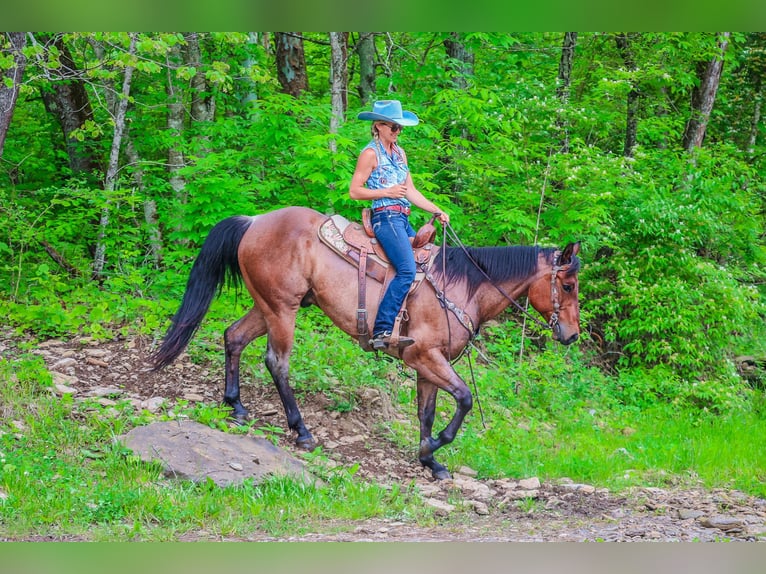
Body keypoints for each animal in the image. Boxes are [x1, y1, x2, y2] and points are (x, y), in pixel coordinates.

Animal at [152, 207, 584, 482]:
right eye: (567, 285)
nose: (572, 335)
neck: (461, 287)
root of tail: (255, 221)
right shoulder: (425, 355)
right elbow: (463, 399)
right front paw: (434, 449)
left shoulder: (428, 364)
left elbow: (426, 412)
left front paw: (431, 461)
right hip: (282, 309)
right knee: (277, 362)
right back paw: (302, 431)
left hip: (268, 305)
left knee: (234, 336)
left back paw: (237, 405)